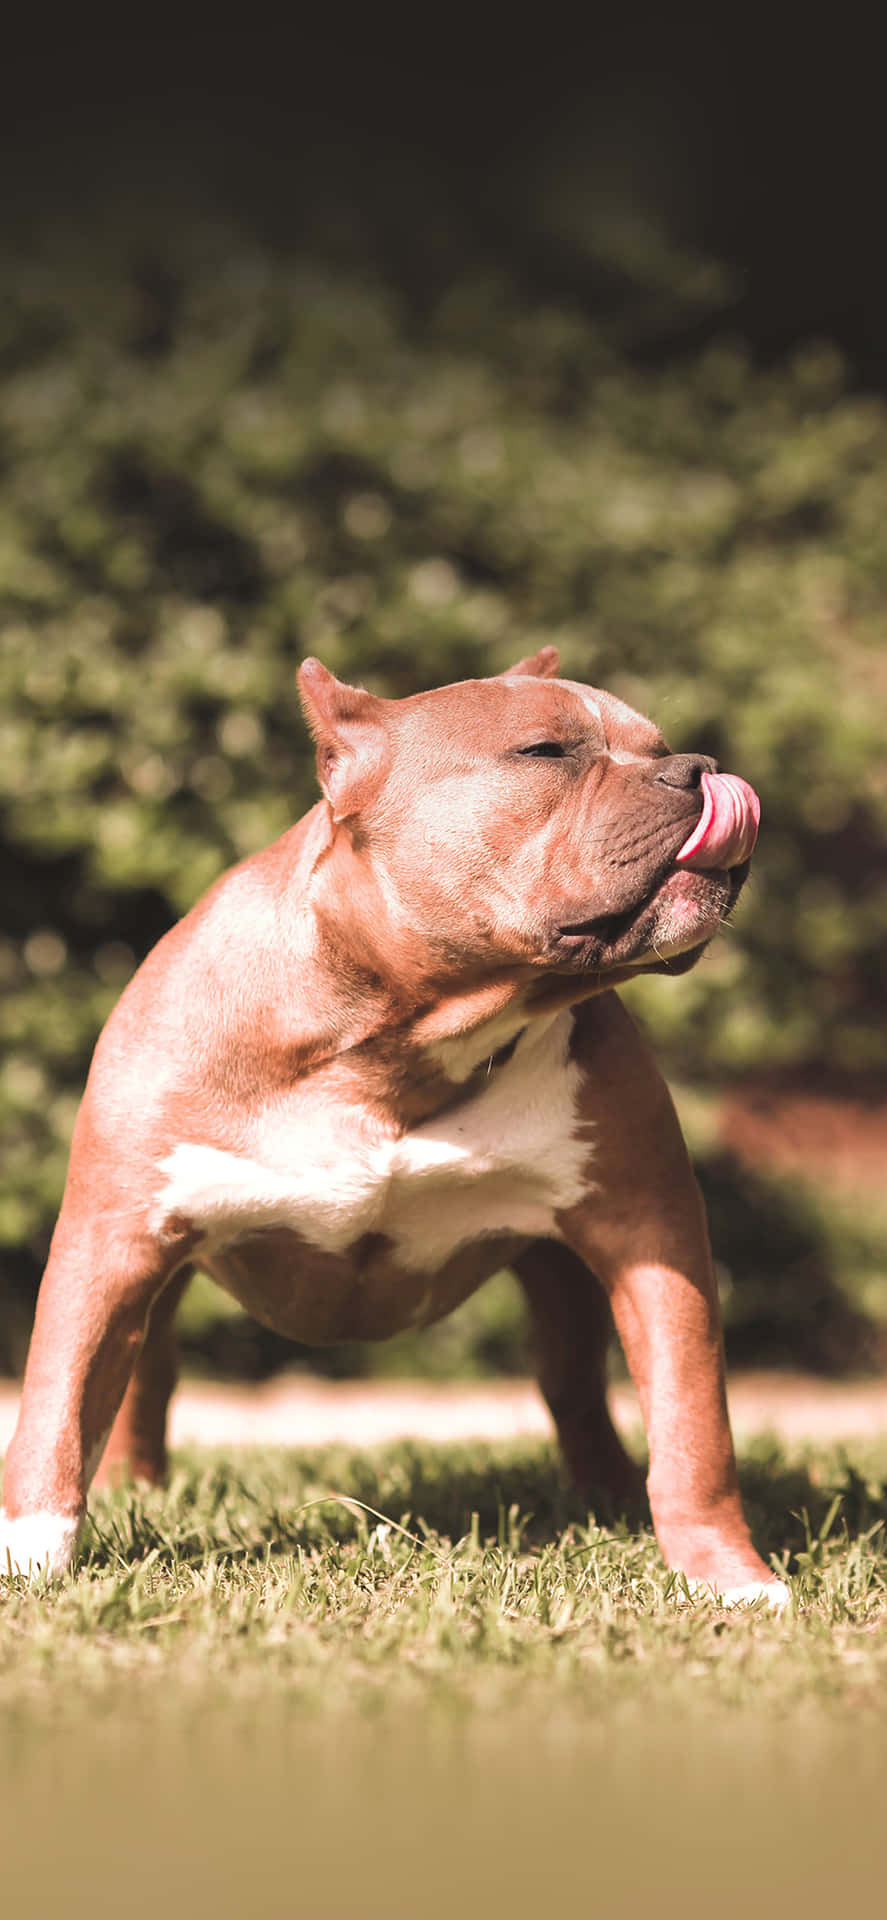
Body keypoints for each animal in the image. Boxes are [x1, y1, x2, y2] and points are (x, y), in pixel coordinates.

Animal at [0, 648, 791, 1605]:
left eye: (662, 745)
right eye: (545, 751)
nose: (700, 770)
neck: (398, 1042)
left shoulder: (652, 1238)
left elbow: (692, 1424)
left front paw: (726, 1577)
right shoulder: (111, 1240)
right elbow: (57, 1403)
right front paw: (29, 1558)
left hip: (563, 1278)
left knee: (572, 1385)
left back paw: (605, 1494)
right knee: (142, 1385)